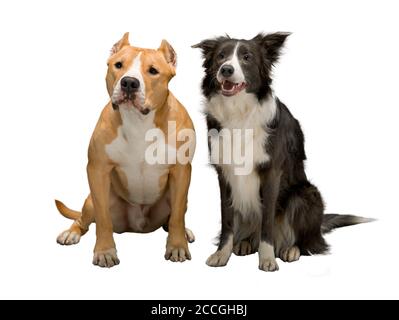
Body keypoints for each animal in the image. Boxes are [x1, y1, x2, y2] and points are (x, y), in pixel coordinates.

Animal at [56, 32, 197, 268]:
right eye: (118, 65)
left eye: (153, 70)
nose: (129, 82)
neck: (138, 121)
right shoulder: (97, 170)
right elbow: (103, 220)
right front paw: (105, 251)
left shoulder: (181, 170)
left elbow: (177, 216)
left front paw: (177, 245)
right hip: (91, 201)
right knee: (83, 219)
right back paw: (71, 232)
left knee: (175, 216)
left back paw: (184, 231)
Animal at [192, 33, 374, 272]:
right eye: (221, 56)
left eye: (247, 57)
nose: (226, 70)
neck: (239, 113)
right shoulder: (224, 173)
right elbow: (227, 220)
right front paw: (222, 254)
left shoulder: (272, 172)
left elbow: (267, 221)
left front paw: (267, 258)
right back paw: (245, 243)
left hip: (306, 195)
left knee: (309, 242)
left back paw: (290, 249)